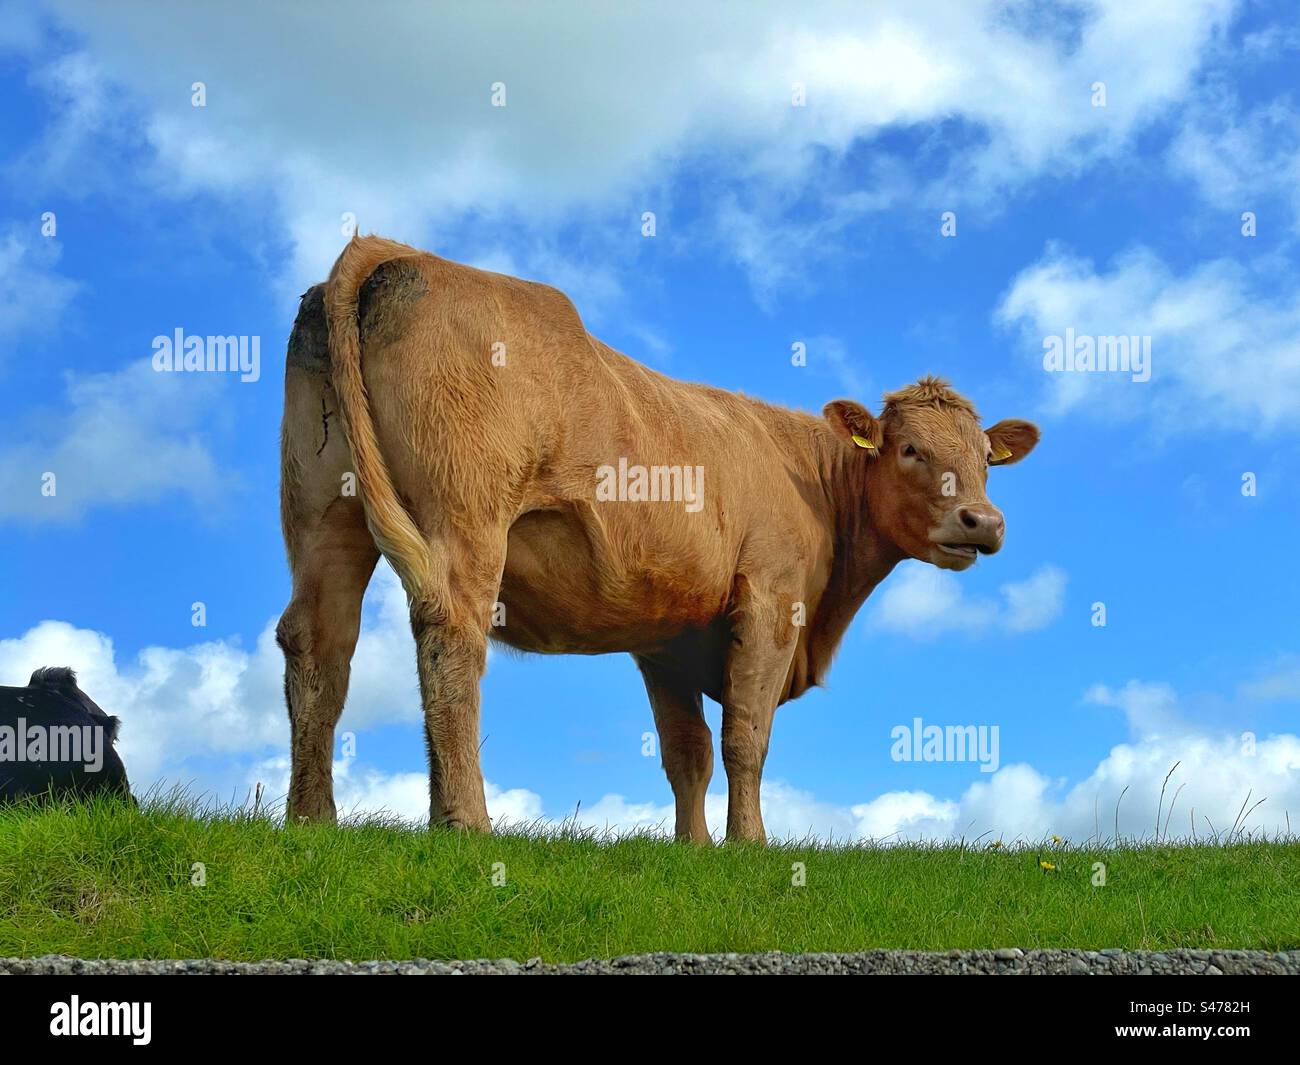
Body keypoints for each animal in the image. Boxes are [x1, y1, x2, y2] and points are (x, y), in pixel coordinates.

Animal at [277, 235, 1039, 843]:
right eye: (910, 450)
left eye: (986, 459)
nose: (983, 522)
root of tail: (395, 251)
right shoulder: (772, 597)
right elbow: (745, 736)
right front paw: (748, 844)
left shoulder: (666, 637)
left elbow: (687, 752)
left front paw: (692, 847)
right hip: (466, 519)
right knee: (450, 634)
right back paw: (465, 820)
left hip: (324, 512)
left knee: (318, 643)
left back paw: (313, 819)